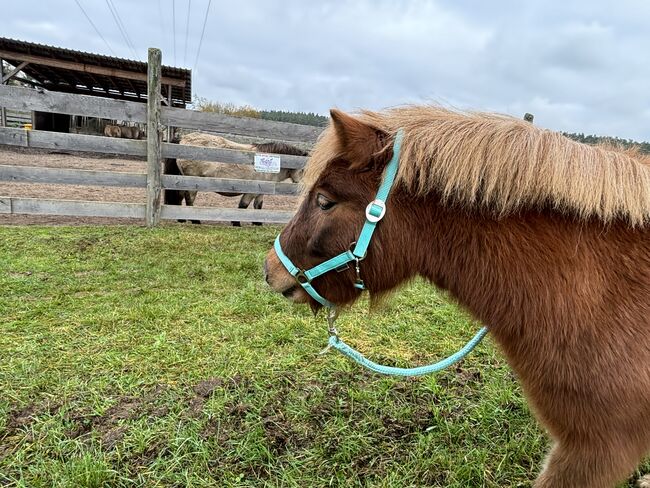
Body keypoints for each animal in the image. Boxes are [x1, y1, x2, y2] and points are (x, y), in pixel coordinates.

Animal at [170, 133, 306, 225]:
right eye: (304, 170)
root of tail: (183, 139)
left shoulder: (261, 192)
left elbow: (258, 206)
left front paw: (257, 223)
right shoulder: (251, 191)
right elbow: (243, 206)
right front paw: (236, 222)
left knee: (180, 197)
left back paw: (181, 219)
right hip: (192, 183)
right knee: (189, 200)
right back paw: (195, 220)